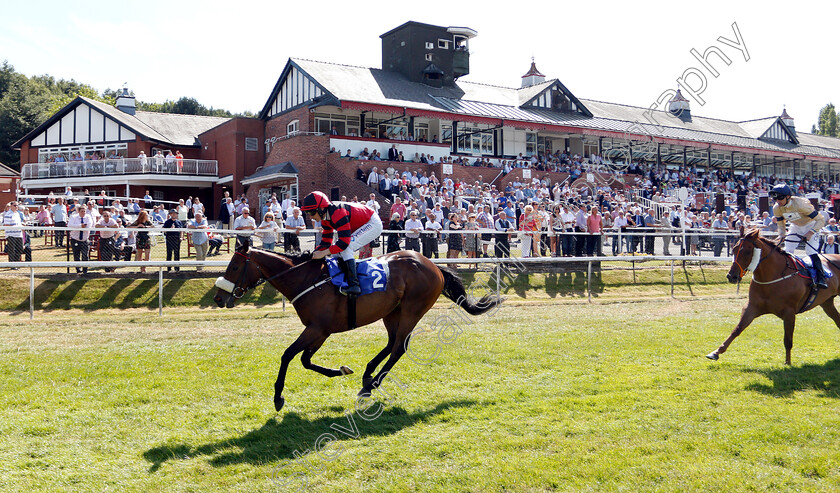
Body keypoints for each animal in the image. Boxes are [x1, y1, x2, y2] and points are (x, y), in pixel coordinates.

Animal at [215, 244, 498, 410]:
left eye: (235, 266)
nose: (218, 298)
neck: (305, 278)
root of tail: (433, 266)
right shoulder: (320, 331)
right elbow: (305, 360)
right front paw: (341, 370)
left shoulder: (317, 329)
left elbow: (288, 355)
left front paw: (278, 398)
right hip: (391, 311)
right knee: (392, 343)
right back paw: (368, 375)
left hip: (412, 309)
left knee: (399, 347)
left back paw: (370, 386)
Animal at [708, 228, 840, 366]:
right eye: (734, 249)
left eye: (748, 251)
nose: (731, 276)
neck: (772, 277)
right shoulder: (751, 307)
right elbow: (737, 329)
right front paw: (716, 352)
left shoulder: (789, 312)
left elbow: (788, 340)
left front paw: (788, 362)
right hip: (827, 302)